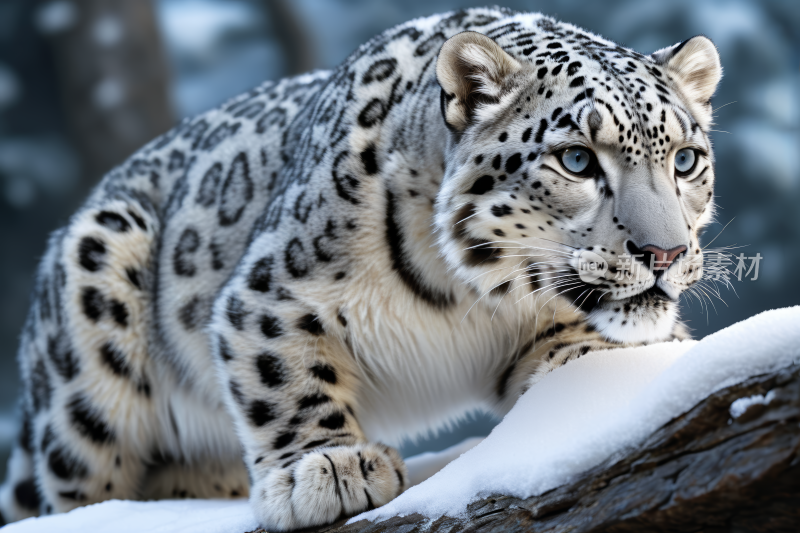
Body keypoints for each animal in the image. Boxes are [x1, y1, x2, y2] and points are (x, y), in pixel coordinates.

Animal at [0, 6, 720, 528]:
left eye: (685, 160)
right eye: (576, 159)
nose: (664, 253)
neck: (469, 294)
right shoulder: (267, 293)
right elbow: (283, 369)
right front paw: (327, 469)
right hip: (89, 353)